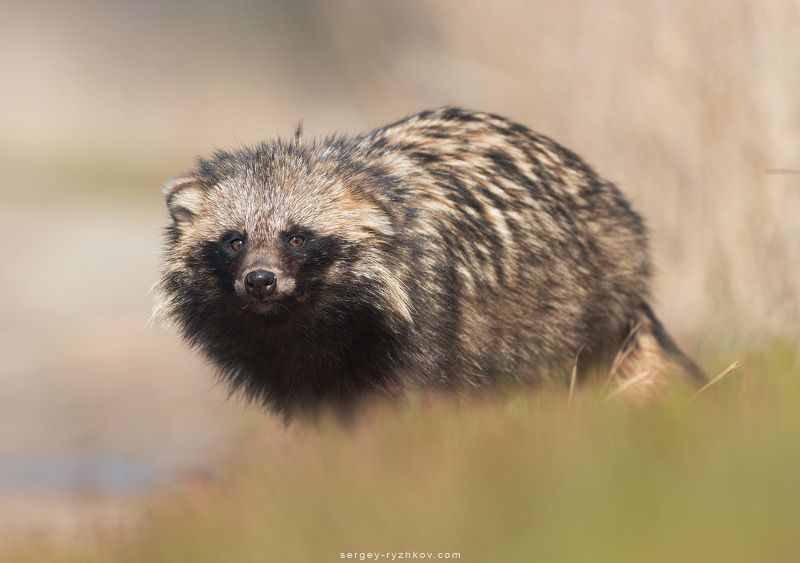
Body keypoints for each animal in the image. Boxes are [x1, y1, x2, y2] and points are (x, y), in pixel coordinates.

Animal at [154, 107, 703, 417]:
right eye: (234, 240)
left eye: (297, 237)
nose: (261, 281)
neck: (309, 331)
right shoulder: (297, 382)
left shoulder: (429, 333)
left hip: (569, 321)